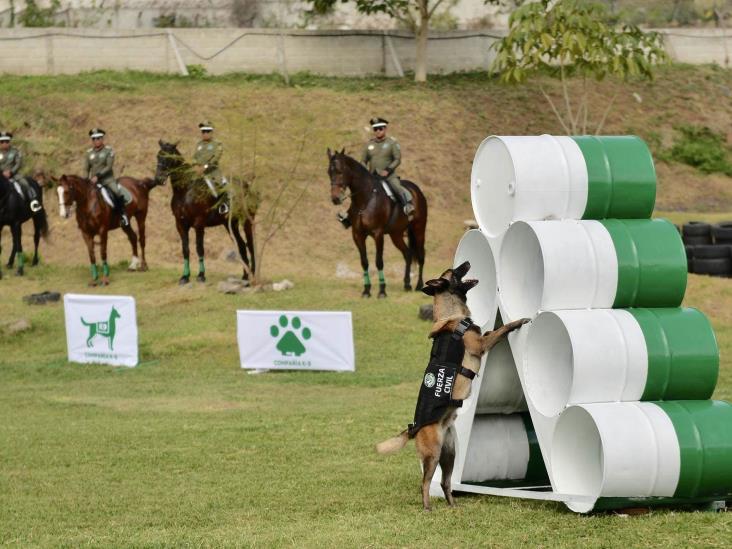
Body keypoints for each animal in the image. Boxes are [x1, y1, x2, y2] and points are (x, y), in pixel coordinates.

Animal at [154, 139, 258, 284]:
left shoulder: (199, 224)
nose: (158, 179)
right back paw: (245, 276)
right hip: (230, 225)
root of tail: (247, 186)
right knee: (242, 246)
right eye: (158, 156)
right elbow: (185, 249)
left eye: (169, 157)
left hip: (247, 221)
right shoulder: (180, 225)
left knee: (250, 245)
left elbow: (199, 248)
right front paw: (185, 276)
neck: (184, 191)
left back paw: (252, 274)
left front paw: (201, 275)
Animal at [328, 148, 426, 298]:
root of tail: (417, 191)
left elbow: (379, 262)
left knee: (420, 256)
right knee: (407, 254)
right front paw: (366, 291)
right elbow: (364, 262)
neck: (365, 199)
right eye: (329, 172)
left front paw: (382, 291)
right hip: (396, 235)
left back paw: (419, 285)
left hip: (419, 229)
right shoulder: (358, 235)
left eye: (340, 171)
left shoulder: (378, 234)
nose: (335, 198)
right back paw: (407, 284)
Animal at [378, 262, 528, 510]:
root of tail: (414, 428)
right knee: (425, 483)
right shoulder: (480, 344)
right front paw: (517, 323)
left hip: (450, 454)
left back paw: (453, 506)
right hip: (433, 454)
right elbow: (500, 330)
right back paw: (428, 507)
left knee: (445, 482)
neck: (453, 316)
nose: (466, 262)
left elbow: (491, 330)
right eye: (455, 270)